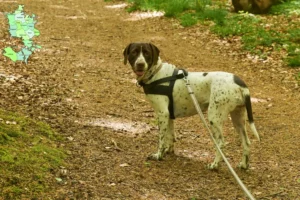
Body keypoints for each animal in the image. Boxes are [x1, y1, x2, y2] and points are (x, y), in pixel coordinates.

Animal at [123, 43, 258, 170]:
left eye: (146, 53)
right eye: (134, 52)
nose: (140, 64)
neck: (156, 73)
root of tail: (240, 84)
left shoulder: (162, 113)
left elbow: (161, 138)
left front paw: (158, 155)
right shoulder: (168, 115)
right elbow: (170, 136)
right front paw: (168, 151)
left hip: (214, 117)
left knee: (221, 143)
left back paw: (214, 165)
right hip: (237, 118)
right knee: (246, 142)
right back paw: (244, 165)